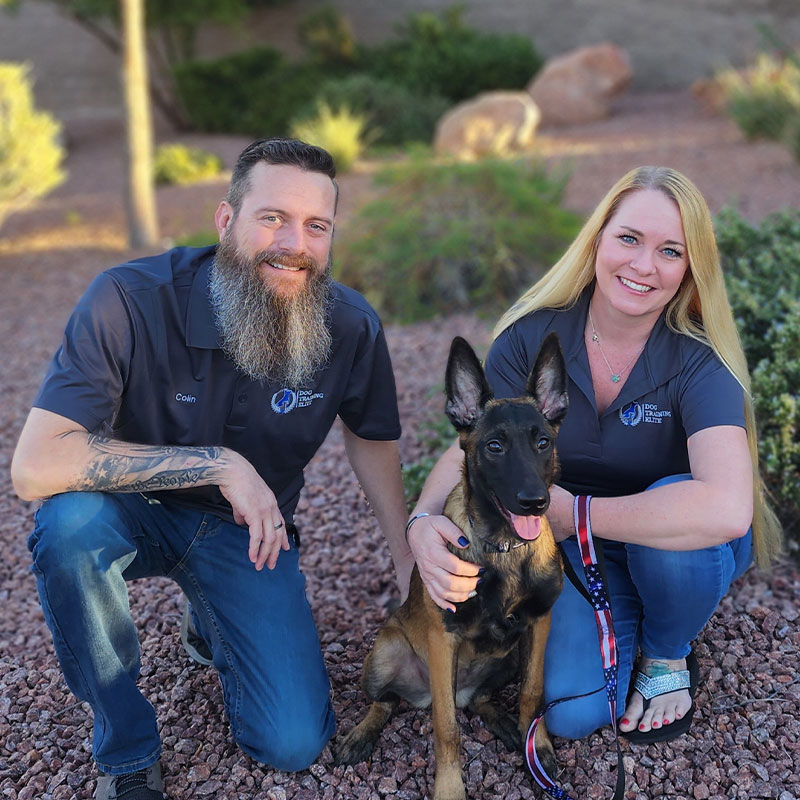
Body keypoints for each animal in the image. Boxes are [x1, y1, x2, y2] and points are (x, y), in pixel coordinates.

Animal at [332, 332, 568, 800]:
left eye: (543, 443)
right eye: (494, 446)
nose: (535, 502)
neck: (504, 547)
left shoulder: (539, 624)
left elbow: (533, 693)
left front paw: (538, 746)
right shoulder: (444, 638)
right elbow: (446, 728)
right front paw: (449, 788)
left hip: (507, 658)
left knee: (477, 699)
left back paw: (501, 722)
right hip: (387, 651)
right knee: (386, 702)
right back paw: (361, 734)